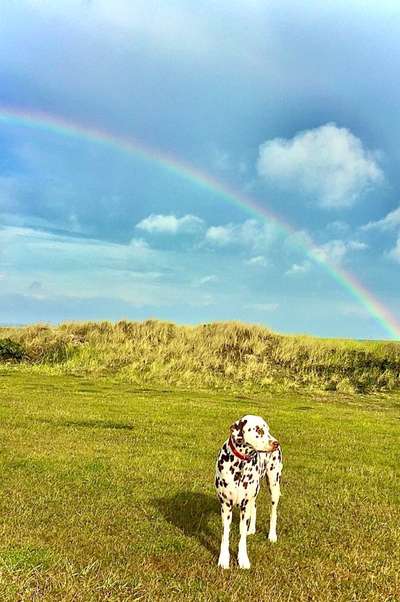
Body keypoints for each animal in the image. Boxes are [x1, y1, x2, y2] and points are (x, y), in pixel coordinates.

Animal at [216, 412, 282, 568]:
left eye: (267, 430)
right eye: (258, 430)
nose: (276, 443)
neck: (239, 465)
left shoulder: (245, 506)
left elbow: (242, 535)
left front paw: (243, 559)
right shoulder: (225, 506)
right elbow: (225, 534)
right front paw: (223, 559)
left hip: (274, 485)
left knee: (273, 512)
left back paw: (272, 535)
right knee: (255, 506)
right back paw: (251, 529)